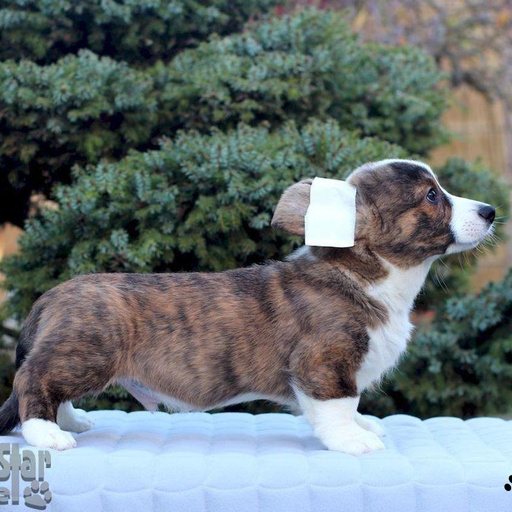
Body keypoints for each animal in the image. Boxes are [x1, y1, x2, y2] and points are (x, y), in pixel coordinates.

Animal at [0, 159, 495, 455]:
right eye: (431, 195)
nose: (490, 211)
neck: (366, 274)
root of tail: (53, 295)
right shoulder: (325, 365)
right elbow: (338, 406)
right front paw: (353, 440)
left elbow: (350, 405)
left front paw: (365, 425)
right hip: (88, 352)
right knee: (31, 380)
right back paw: (48, 433)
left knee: (50, 385)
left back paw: (71, 421)